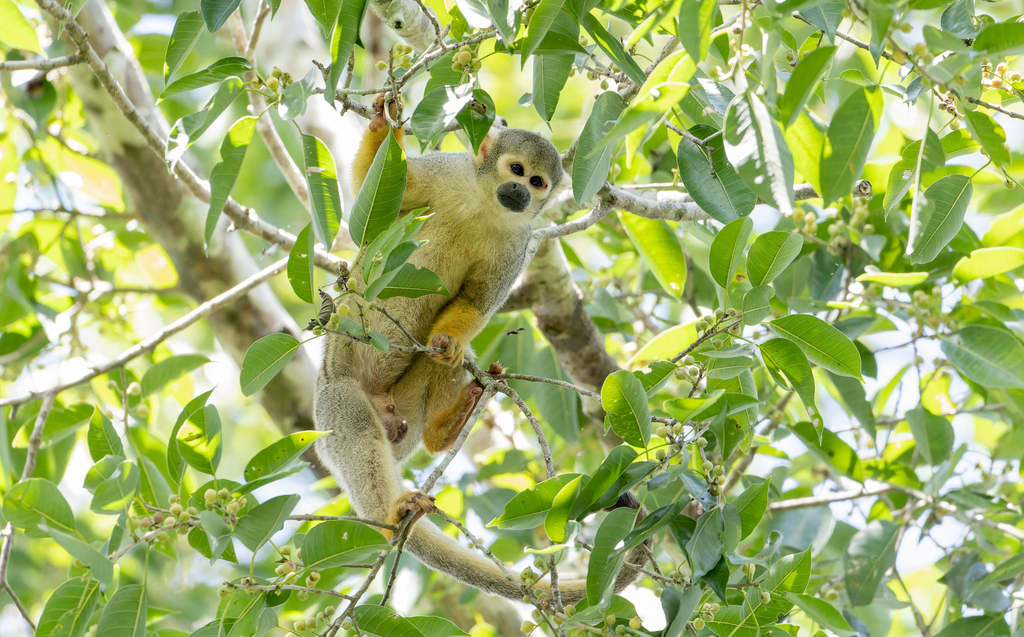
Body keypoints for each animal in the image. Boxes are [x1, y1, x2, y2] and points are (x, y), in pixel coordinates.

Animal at [314, 94, 650, 603]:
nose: (521, 193)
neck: (485, 204)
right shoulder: (448, 170)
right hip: (333, 400)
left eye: (538, 182)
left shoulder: (518, 244)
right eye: (516, 169)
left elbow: (473, 303)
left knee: (443, 369)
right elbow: (376, 191)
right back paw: (392, 510)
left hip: (403, 418)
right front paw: (381, 123)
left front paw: (450, 342)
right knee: (355, 428)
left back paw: (445, 424)